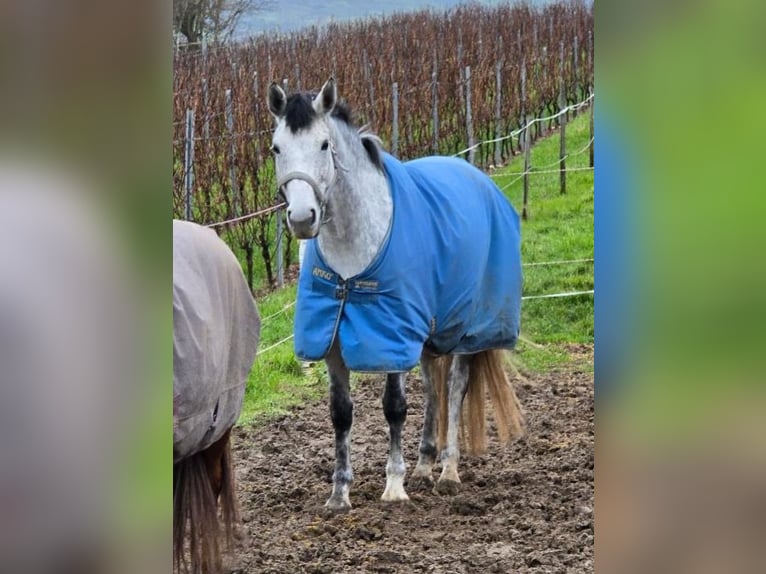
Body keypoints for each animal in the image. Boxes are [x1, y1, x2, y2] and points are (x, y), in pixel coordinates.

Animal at [267, 78, 525, 512]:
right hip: (430, 333)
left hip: (465, 331)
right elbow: (341, 413)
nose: (302, 219)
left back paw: (448, 471)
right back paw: (423, 466)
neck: (352, 257)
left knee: (454, 388)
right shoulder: (333, 340)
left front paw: (393, 486)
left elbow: (394, 408)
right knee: (433, 387)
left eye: (323, 144)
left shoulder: (390, 335)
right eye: (276, 147)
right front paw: (339, 494)